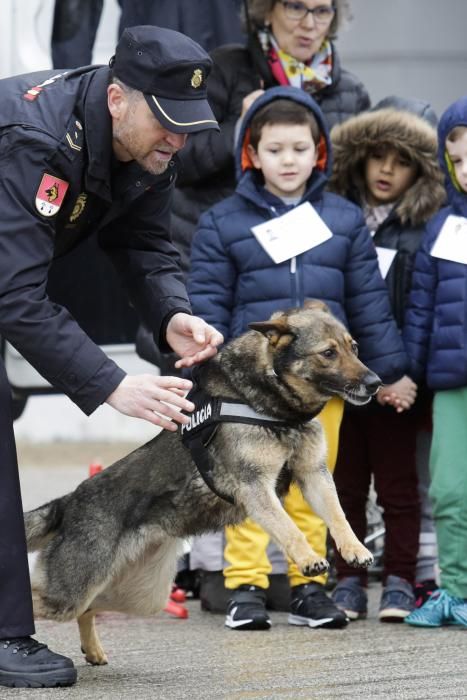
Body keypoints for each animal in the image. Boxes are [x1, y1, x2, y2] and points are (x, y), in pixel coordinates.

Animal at [25, 300, 380, 668]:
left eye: (354, 348)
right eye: (328, 353)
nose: (376, 383)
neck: (273, 404)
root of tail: (69, 501)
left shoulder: (313, 475)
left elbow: (337, 515)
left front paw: (354, 549)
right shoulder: (256, 489)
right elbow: (290, 529)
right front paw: (310, 557)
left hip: (137, 596)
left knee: (89, 608)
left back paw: (93, 651)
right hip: (71, 593)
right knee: (43, 602)